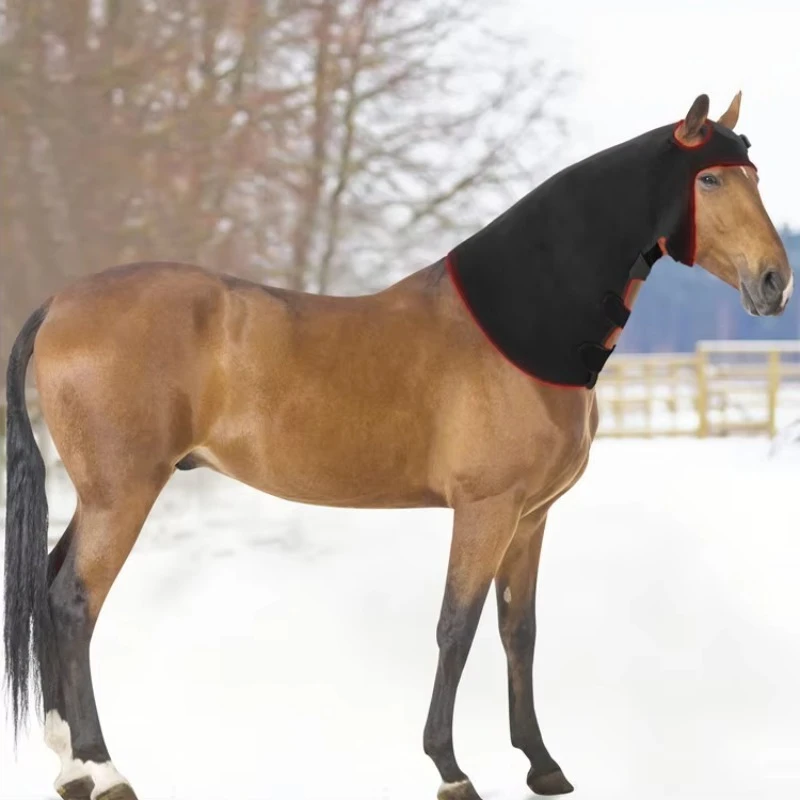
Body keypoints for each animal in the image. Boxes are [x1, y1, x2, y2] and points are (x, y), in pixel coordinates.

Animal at [3, 92, 792, 800]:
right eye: (711, 180)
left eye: (755, 174)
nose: (774, 281)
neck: (517, 328)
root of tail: (59, 303)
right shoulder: (485, 510)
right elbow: (456, 627)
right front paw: (451, 770)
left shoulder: (531, 517)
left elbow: (519, 631)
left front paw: (542, 767)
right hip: (125, 492)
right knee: (74, 602)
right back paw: (104, 771)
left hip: (104, 494)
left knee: (51, 586)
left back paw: (70, 766)